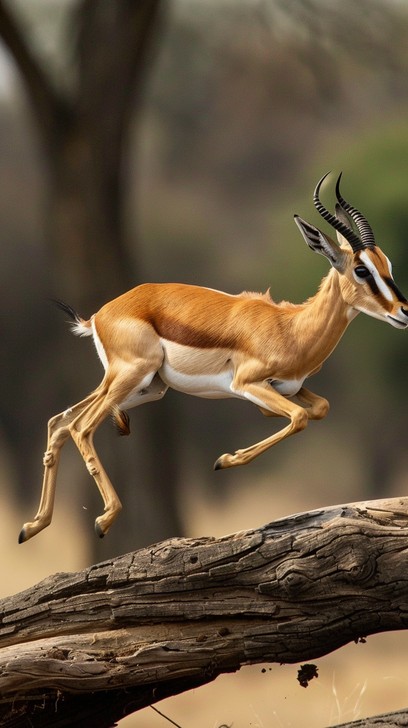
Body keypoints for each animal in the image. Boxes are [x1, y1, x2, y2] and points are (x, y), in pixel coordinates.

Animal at [19, 173, 408, 543]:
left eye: (386, 264)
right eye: (361, 270)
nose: (403, 311)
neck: (291, 327)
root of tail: (100, 314)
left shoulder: (291, 388)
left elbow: (319, 408)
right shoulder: (247, 383)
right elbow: (298, 418)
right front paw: (224, 459)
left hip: (146, 387)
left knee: (59, 422)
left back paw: (33, 525)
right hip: (130, 377)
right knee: (81, 427)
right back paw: (103, 519)